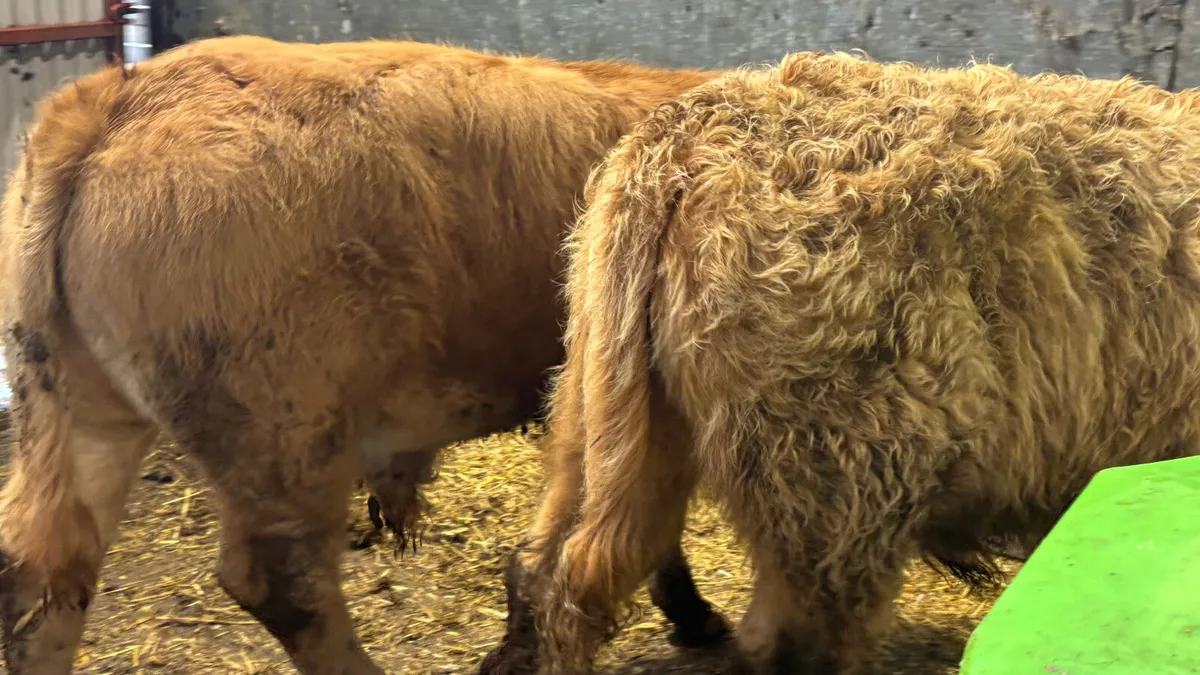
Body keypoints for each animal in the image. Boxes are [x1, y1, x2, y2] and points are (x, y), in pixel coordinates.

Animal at [0, 35, 733, 674]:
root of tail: (116, 98)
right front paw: (695, 615)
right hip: (287, 428)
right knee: (279, 580)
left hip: (80, 410)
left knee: (42, 572)